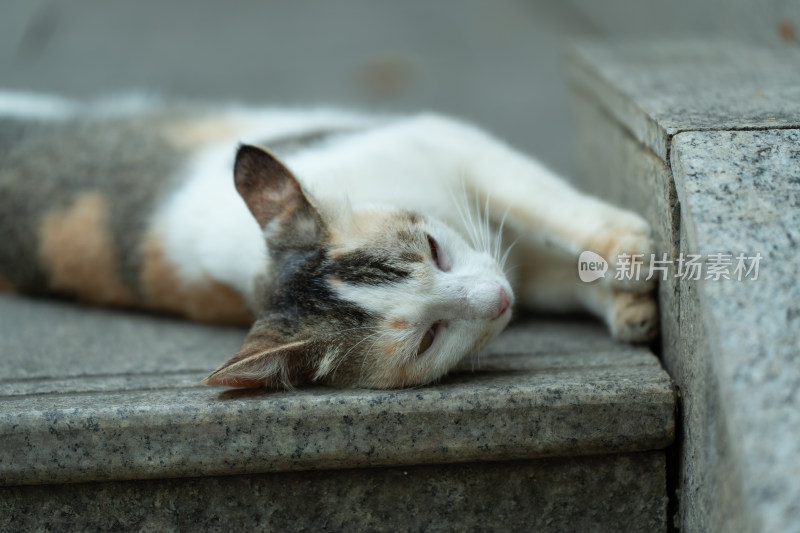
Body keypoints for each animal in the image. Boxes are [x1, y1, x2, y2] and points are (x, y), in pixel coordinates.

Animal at [0, 91, 656, 388]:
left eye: (434, 250)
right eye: (430, 338)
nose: (497, 302)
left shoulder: (446, 140)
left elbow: (537, 201)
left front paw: (623, 266)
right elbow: (550, 264)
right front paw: (627, 292)